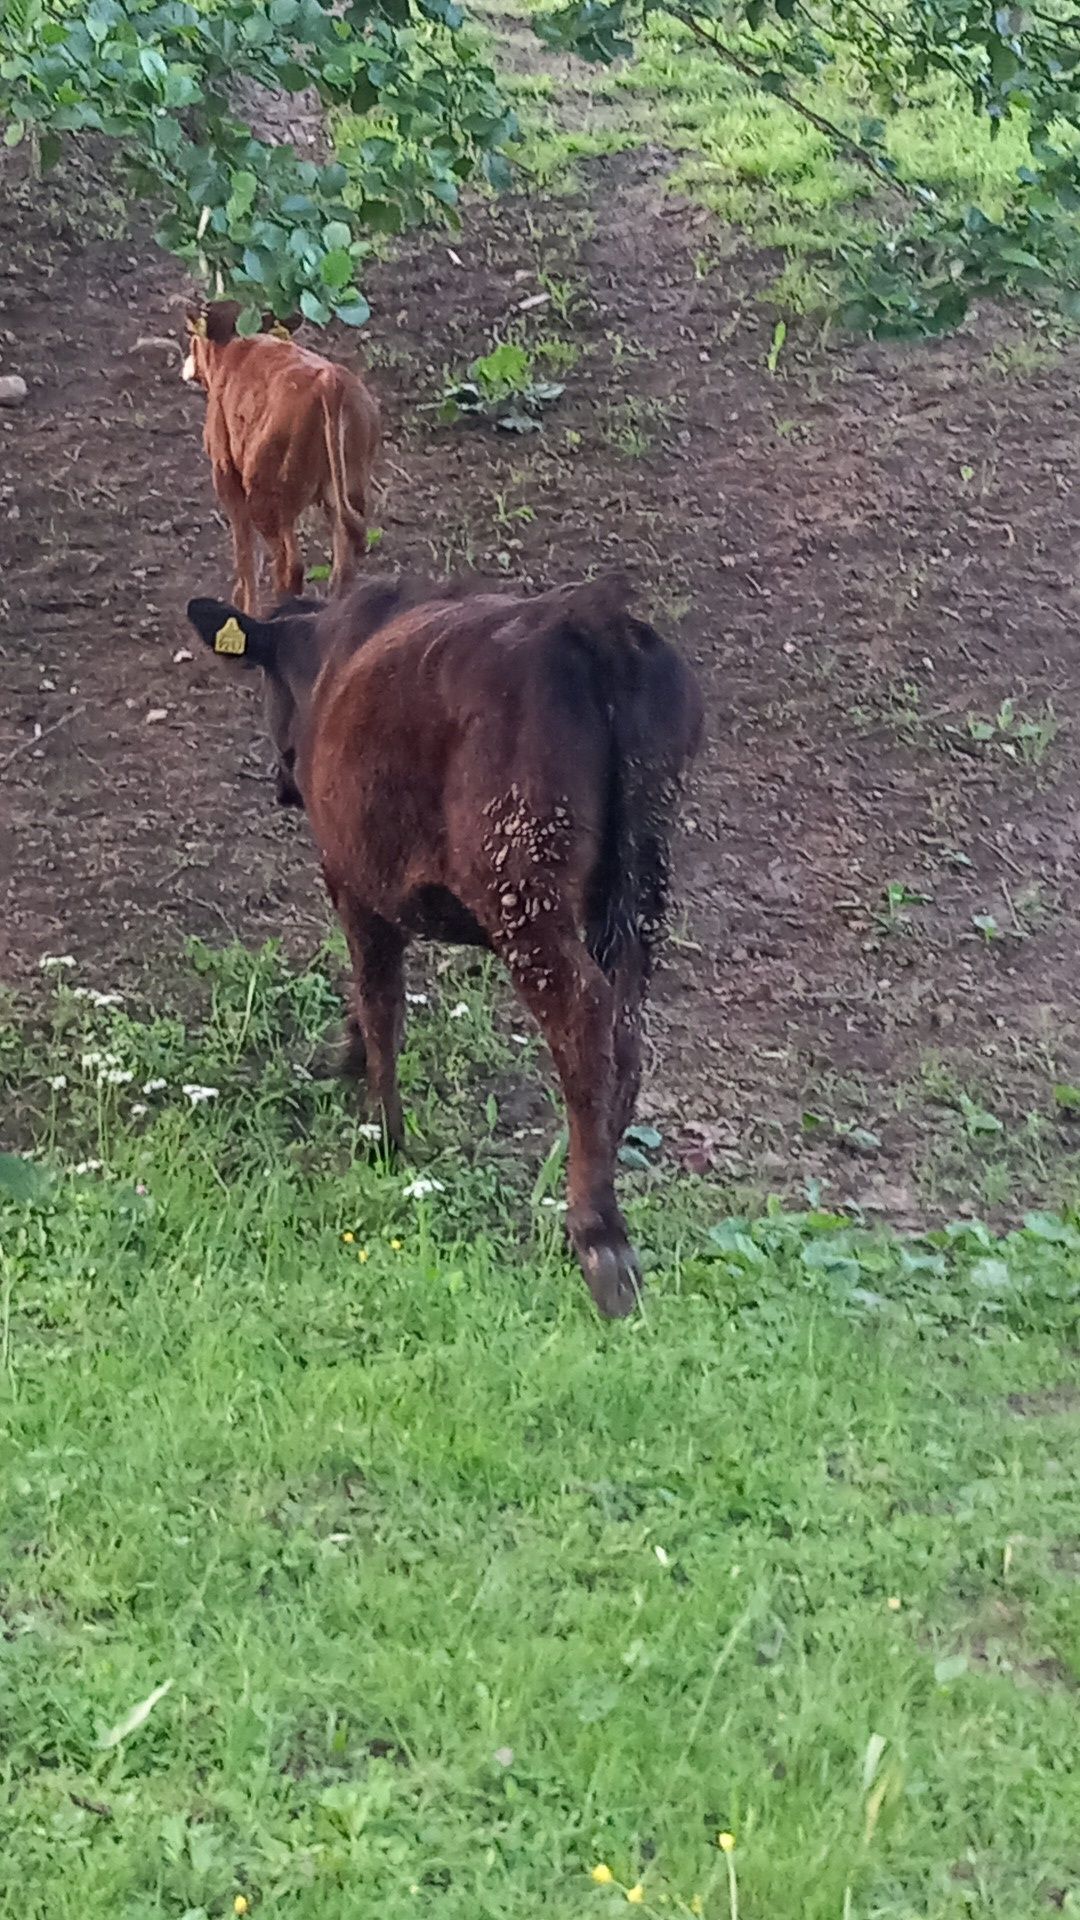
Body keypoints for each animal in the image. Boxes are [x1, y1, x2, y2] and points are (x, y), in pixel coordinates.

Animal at [183, 576, 699, 1313]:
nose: (281, 781)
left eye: (264, 683)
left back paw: (598, 1238)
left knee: (584, 1015)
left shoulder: (354, 876)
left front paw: (383, 1135)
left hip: (524, 884)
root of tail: (592, 622)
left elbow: (382, 999)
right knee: (626, 1025)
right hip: (644, 878)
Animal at [184, 303, 382, 610]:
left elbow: (245, 554)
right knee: (342, 568)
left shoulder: (226, 474)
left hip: (267, 497)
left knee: (290, 567)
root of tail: (330, 381)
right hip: (343, 492)